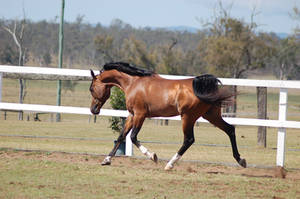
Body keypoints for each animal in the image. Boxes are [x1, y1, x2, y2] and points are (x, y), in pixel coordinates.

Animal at [88, 61, 246, 169]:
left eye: (91, 88)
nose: (93, 109)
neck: (134, 83)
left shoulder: (140, 114)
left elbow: (133, 137)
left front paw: (153, 156)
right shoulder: (132, 115)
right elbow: (122, 136)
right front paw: (106, 160)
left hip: (188, 117)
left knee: (189, 139)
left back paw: (169, 164)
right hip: (211, 115)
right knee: (230, 129)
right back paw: (240, 160)